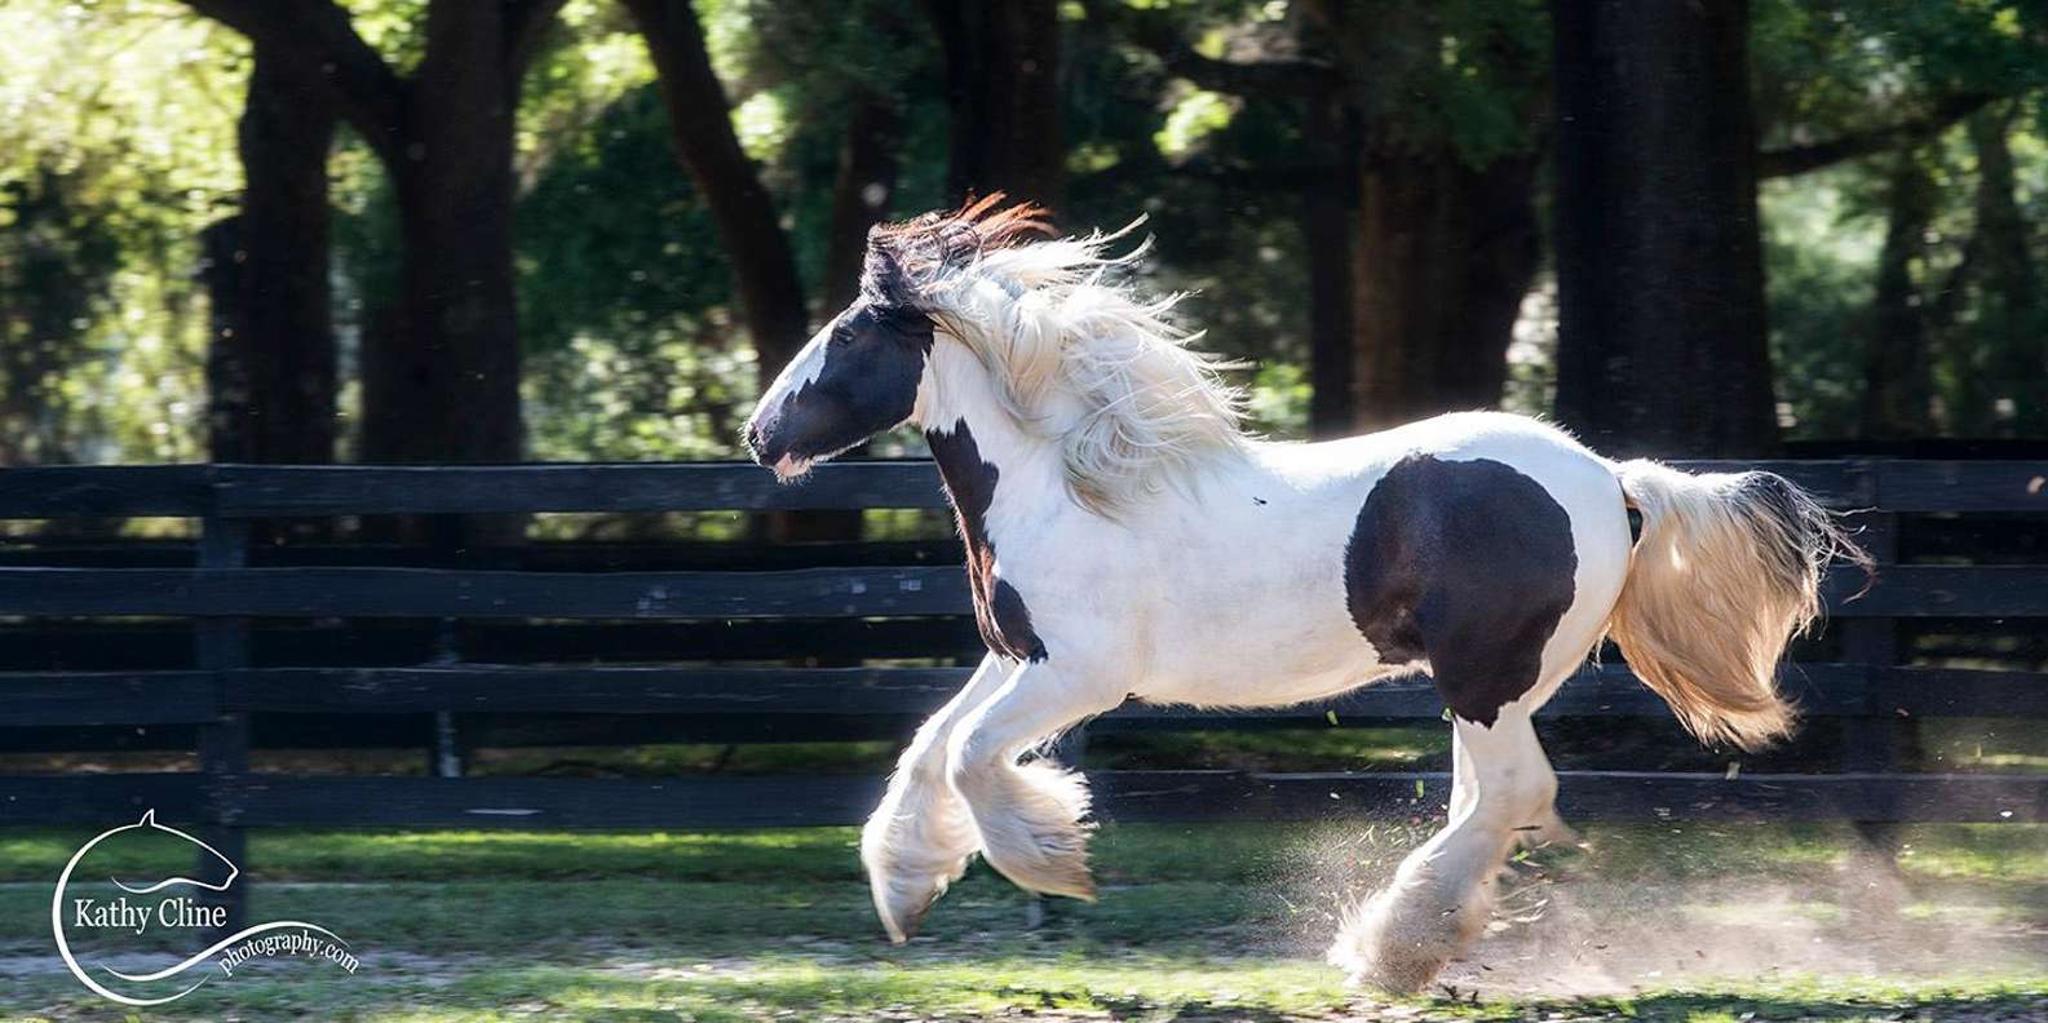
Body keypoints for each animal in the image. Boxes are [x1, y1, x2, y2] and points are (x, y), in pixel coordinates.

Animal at [741, 195, 1868, 992]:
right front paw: (904, 889)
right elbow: (933, 741)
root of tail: (1610, 479)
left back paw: (1390, 952)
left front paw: (1057, 862)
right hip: (1486, 688)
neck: (1065, 482)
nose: (760, 435)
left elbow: (971, 754)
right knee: (1488, 801)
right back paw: (1414, 945)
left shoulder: (1078, 678)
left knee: (1510, 795)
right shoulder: (1018, 658)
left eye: (849, 337)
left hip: (1485, 680)